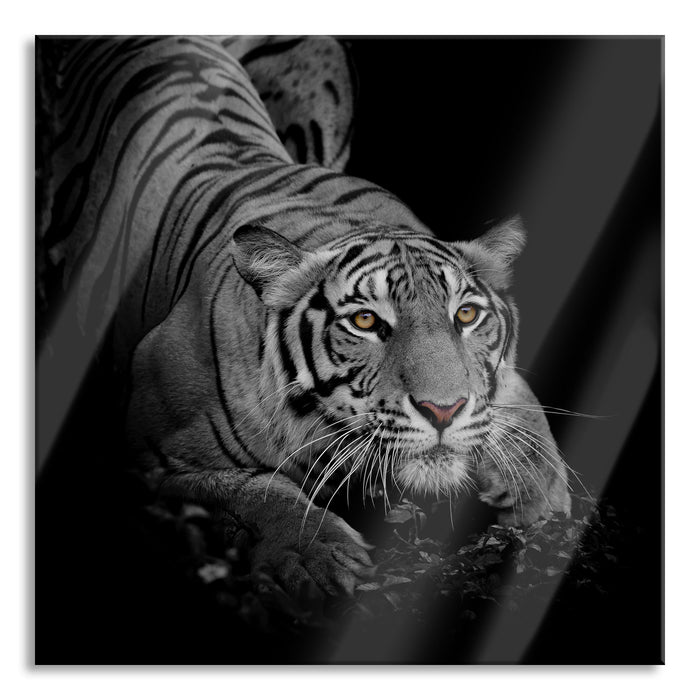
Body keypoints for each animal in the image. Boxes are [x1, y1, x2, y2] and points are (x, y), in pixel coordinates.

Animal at [37, 36, 571, 598]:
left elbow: (530, 430)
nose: (442, 411)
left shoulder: (505, 383)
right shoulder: (156, 462)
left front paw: (541, 506)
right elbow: (255, 493)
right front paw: (318, 563)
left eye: (466, 315)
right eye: (365, 323)